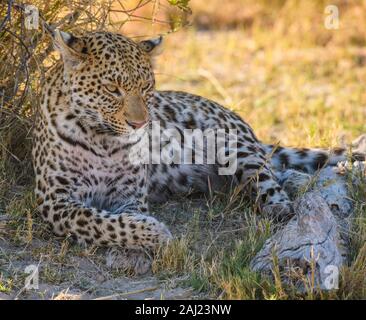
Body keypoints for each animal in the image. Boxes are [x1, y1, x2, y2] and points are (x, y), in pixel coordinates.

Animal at [33, 28, 364, 256]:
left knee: (272, 183)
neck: (102, 139)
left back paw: (286, 208)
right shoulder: (54, 199)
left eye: (147, 87)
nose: (139, 124)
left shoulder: (129, 196)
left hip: (237, 147)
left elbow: (120, 219)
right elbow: (97, 220)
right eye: (113, 89)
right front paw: (154, 232)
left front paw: (150, 232)